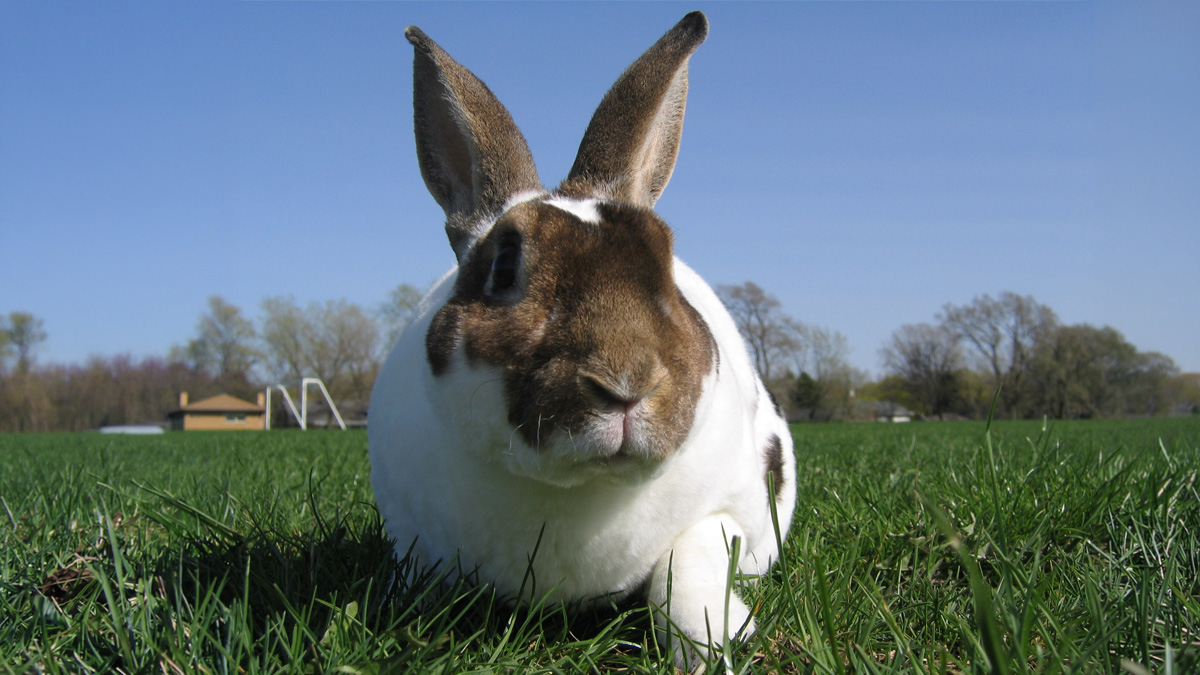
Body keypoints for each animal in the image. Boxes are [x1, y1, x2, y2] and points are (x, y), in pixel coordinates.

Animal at [369, 11, 797, 669]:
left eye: (667, 268)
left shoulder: (729, 514)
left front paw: (713, 643)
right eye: (503, 267)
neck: (581, 489)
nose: (625, 386)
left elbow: (684, 564)